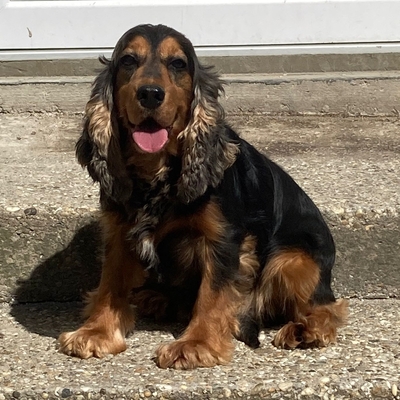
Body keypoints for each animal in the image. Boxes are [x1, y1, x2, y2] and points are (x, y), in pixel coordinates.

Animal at [57, 24, 348, 368]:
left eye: (178, 64)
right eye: (128, 60)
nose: (150, 93)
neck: (156, 173)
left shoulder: (223, 238)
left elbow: (212, 293)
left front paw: (195, 344)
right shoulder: (118, 232)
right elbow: (110, 283)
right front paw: (96, 331)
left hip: (293, 261)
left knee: (328, 306)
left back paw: (305, 330)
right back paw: (156, 298)